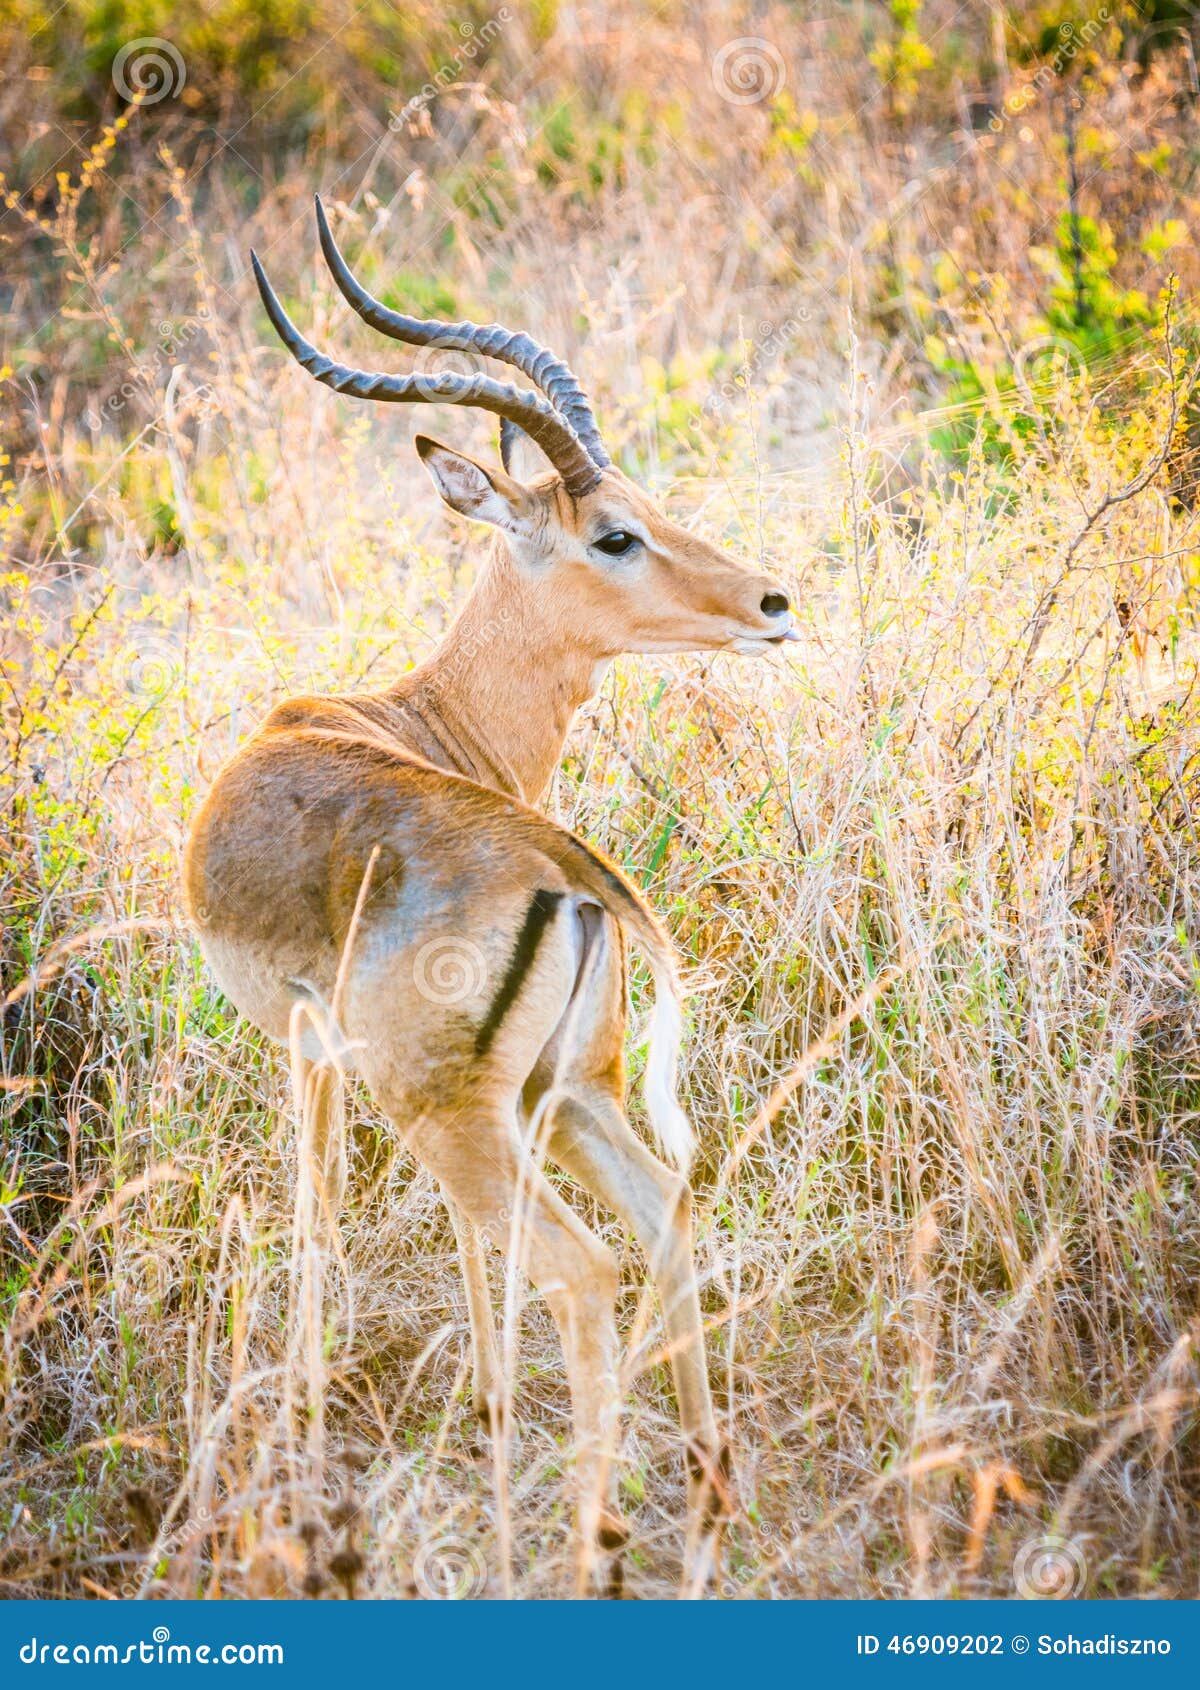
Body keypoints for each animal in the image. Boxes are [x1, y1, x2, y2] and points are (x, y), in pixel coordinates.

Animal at [183, 198, 795, 1592]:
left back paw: (591, 1544)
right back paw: (706, 1495)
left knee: (581, 1266)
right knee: (665, 1213)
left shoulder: (312, 1050)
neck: (408, 715)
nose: (772, 600)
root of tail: (570, 871)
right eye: (616, 530)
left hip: (458, 1114)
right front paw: (485, 1395)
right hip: (566, 1095)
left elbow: (315, 1212)